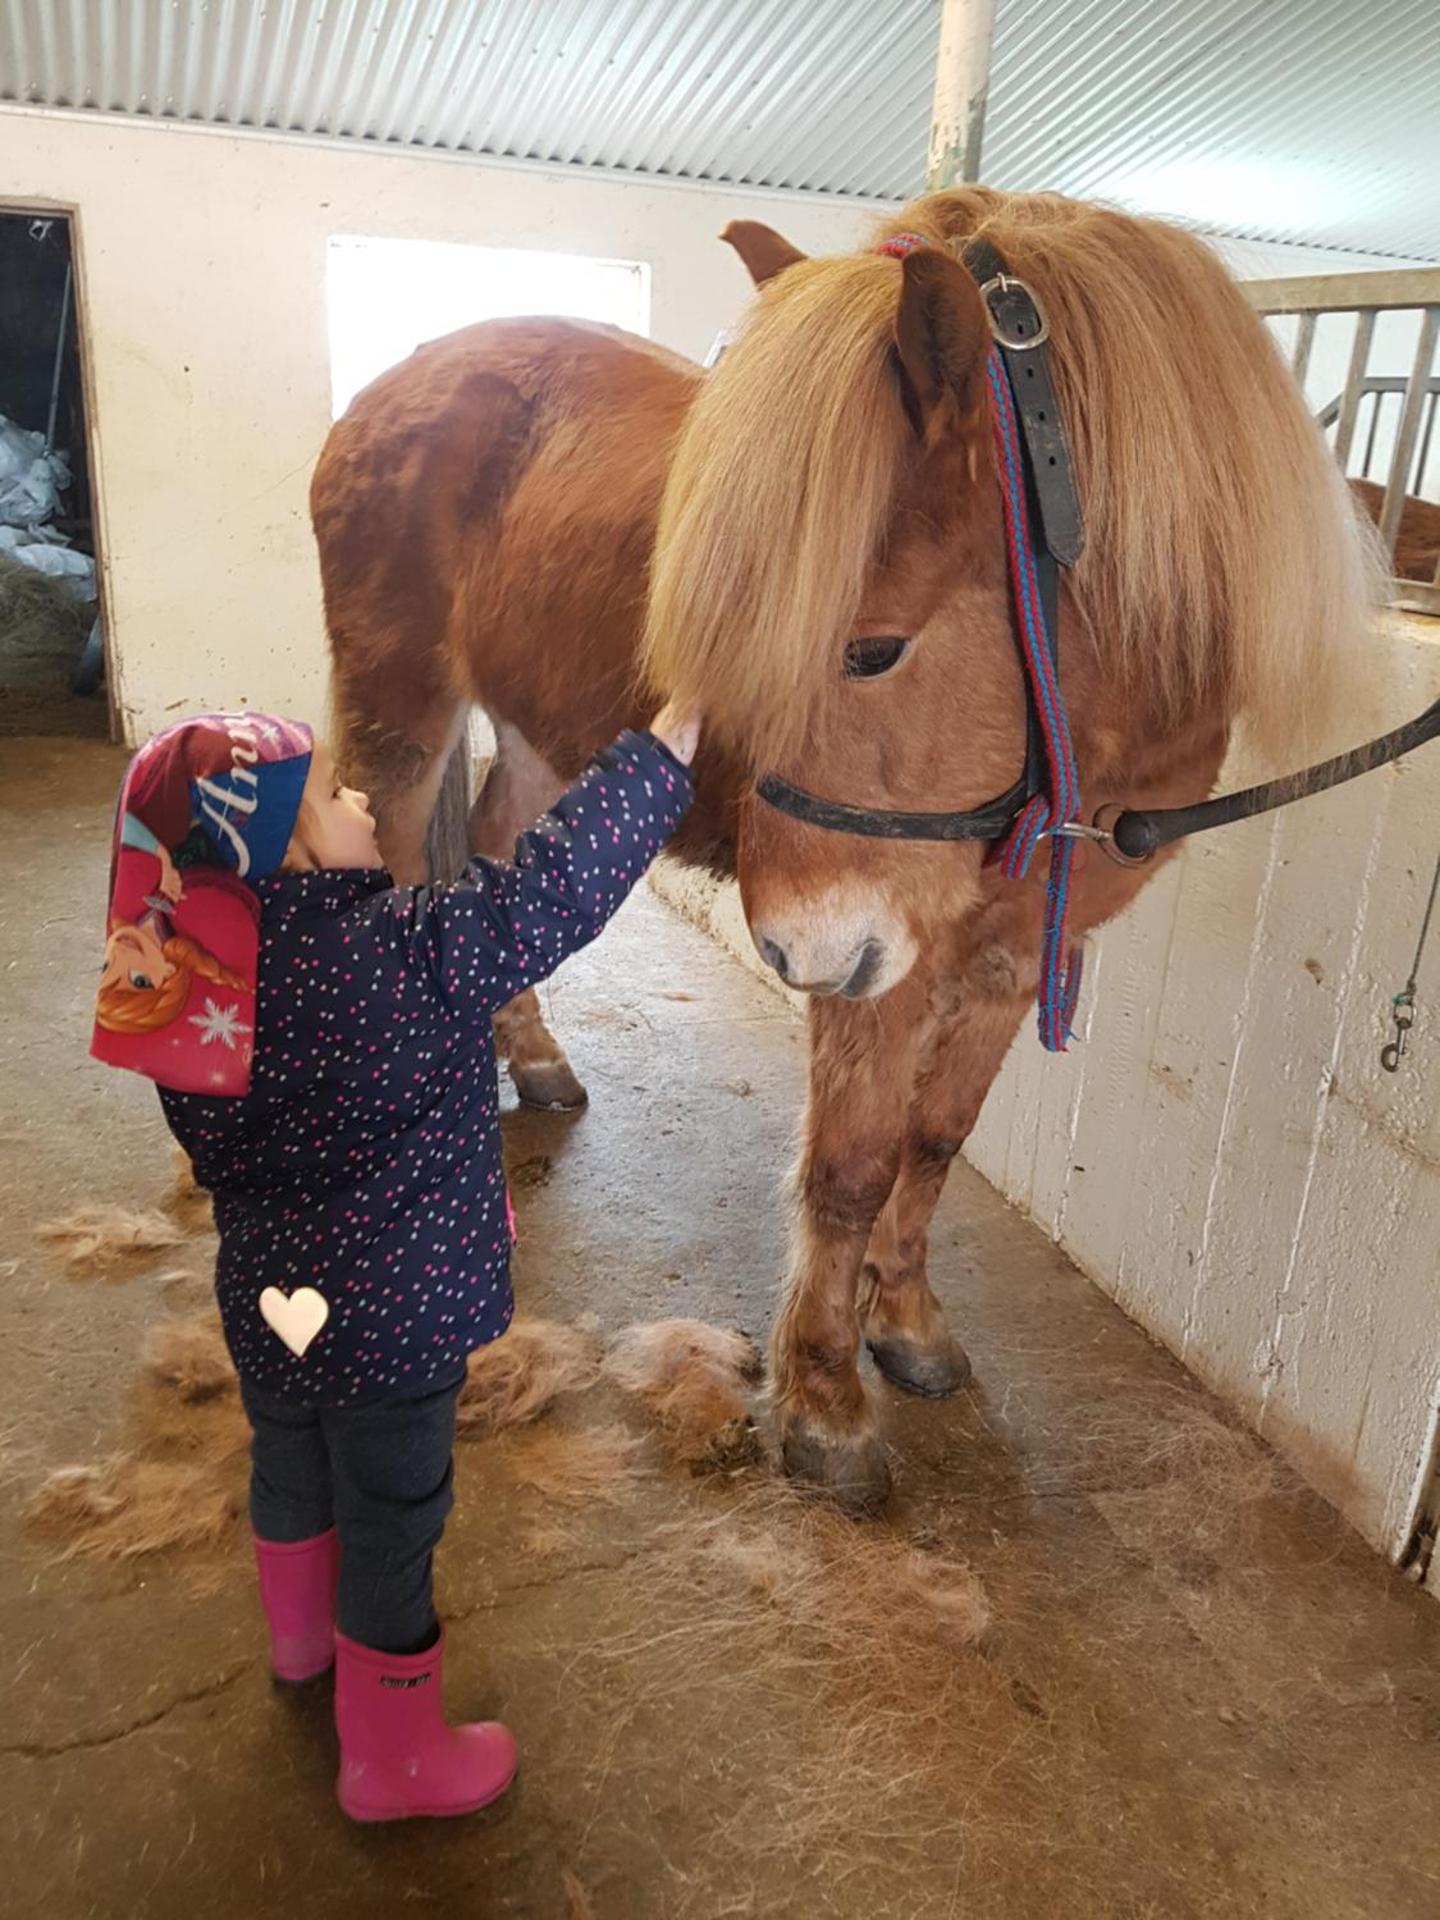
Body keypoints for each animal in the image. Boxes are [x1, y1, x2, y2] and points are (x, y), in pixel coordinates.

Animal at [313, 187, 1374, 1512]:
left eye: (872, 650)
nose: (788, 953)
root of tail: (405, 378)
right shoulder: (886, 962)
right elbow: (853, 1168)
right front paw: (823, 1398)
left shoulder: (1011, 959)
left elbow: (936, 1141)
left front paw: (905, 1324)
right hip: (400, 717)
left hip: (546, 737)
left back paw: (537, 1059)